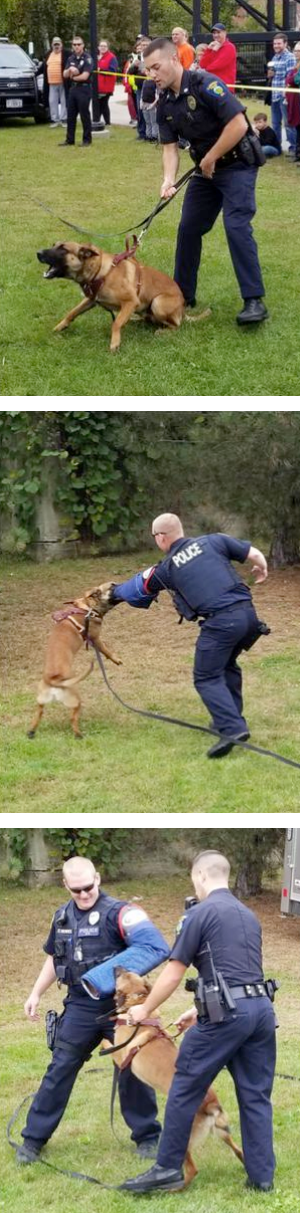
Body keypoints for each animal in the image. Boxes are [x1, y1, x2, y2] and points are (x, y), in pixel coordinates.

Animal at [27, 579, 119, 737]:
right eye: (109, 588)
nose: (115, 583)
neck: (86, 608)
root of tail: (54, 681)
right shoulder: (96, 639)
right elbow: (107, 650)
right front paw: (116, 659)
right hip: (75, 700)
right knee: (73, 718)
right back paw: (78, 735)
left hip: (41, 701)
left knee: (38, 715)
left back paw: (31, 732)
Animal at [36, 237, 183, 349]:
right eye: (53, 245)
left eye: (63, 249)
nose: (38, 253)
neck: (101, 271)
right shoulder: (91, 299)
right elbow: (72, 312)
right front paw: (60, 326)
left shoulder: (131, 301)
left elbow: (116, 323)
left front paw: (115, 342)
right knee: (148, 319)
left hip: (157, 303)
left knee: (175, 325)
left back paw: (163, 331)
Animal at [108, 970, 244, 1188]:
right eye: (130, 972)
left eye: (123, 974)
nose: (117, 965)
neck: (139, 1003)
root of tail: (211, 1104)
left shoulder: (120, 1057)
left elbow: (107, 1045)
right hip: (222, 1132)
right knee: (239, 1150)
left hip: (184, 1140)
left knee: (192, 1169)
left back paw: (172, 1187)